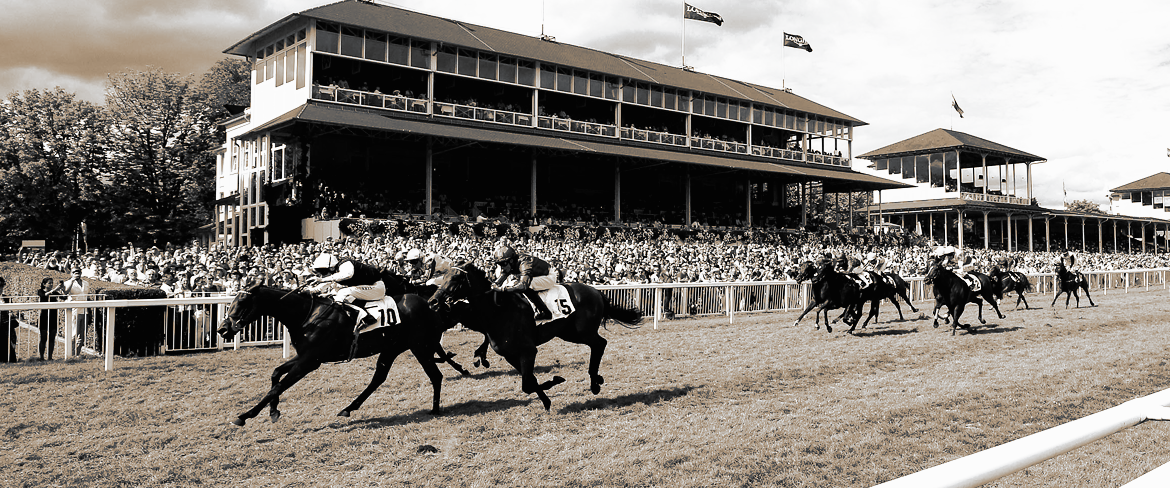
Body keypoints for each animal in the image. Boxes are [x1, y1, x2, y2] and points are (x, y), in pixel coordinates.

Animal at [217, 283, 453, 423]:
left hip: (419, 346)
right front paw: (274, 411)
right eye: (231, 302)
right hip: (391, 348)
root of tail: (430, 304)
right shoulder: (306, 356)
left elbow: (279, 387)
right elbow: (276, 374)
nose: (222, 329)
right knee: (378, 378)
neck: (307, 314)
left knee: (436, 375)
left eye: (242, 302)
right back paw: (349, 408)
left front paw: (245, 415)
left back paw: (435, 409)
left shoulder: (309, 362)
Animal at [428, 260, 645, 409]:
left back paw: (595, 382)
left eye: (455, 279)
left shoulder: (528, 350)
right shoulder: (511, 355)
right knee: (598, 344)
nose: (432, 302)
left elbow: (527, 384)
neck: (498, 311)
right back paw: (596, 380)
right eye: (442, 276)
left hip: (583, 331)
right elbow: (530, 381)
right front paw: (547, 400)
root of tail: (595, 291)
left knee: (600, 344)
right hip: (569, 333)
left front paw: (554, 382)